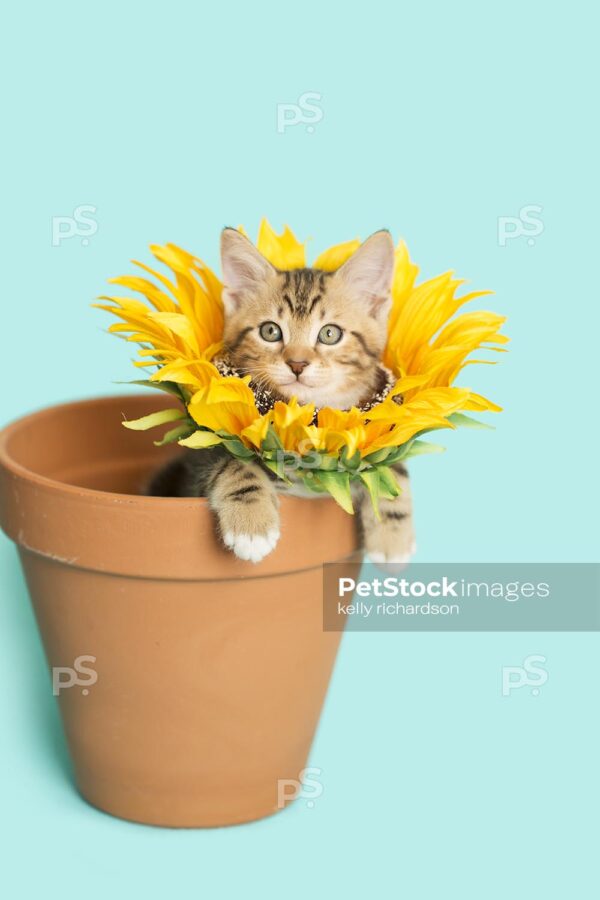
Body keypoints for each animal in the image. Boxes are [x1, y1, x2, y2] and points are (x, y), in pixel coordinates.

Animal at [148, 227, 414, 564]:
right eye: (270, 331)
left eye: (330, 334)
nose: (297, 363)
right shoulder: (202, 455)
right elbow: (232, 462)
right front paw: (252, 527)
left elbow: (390, 465)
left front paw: (394, 538)